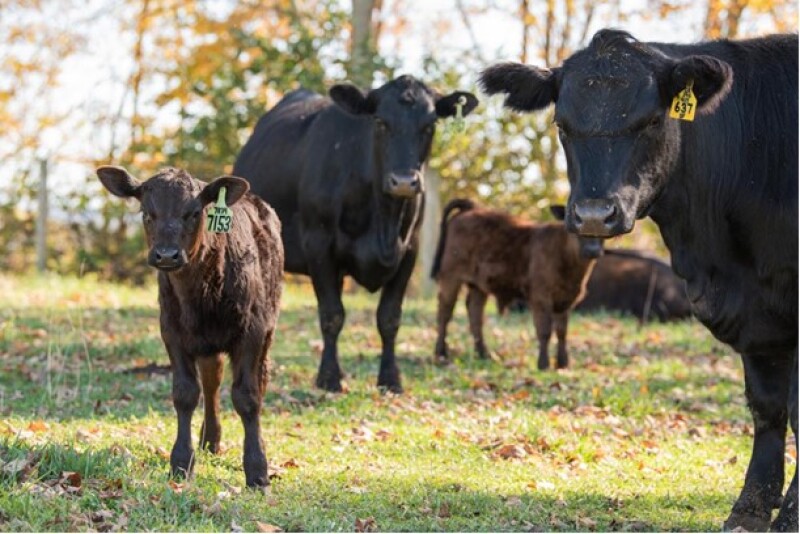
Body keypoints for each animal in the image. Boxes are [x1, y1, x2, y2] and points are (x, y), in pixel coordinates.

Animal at [96, 166, 284, 490]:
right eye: (146, 212)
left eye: (194, 212)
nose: (166, 255)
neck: (199, 296)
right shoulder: (172, 333)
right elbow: (185, 394)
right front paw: (181, 463)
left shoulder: (253, 332)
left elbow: (247, 397)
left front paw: (257, 470)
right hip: (207, 344)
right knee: (211, 382)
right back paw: (210, 440)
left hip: (268, 330)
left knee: (257, 382)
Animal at [233, 76, 478, 393]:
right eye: (380, 122)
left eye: (430, 124)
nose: (403, 181)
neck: (383, 222)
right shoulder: (318, 245)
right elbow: (332, 315)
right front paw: (328, 379)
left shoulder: (409, 250)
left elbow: (389, 317)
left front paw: (390, 379)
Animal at [431, 199, 602, 370]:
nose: (592, 250)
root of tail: (470, 209)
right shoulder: (541, 297)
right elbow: (545, 330)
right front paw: (543, 364)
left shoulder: (566, 300)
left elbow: (562, 331)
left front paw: (562, 364)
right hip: (450, 277)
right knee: (445, 313)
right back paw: (441, 353)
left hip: (478, 286)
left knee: (475, 314)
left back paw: (484, 354)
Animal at [480, 30, 798, 531]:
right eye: (562, 125)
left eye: (649, 121)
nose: (593, 215)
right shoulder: (758, 314)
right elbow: (768, 405)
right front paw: (748, 510)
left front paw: (790, 514)